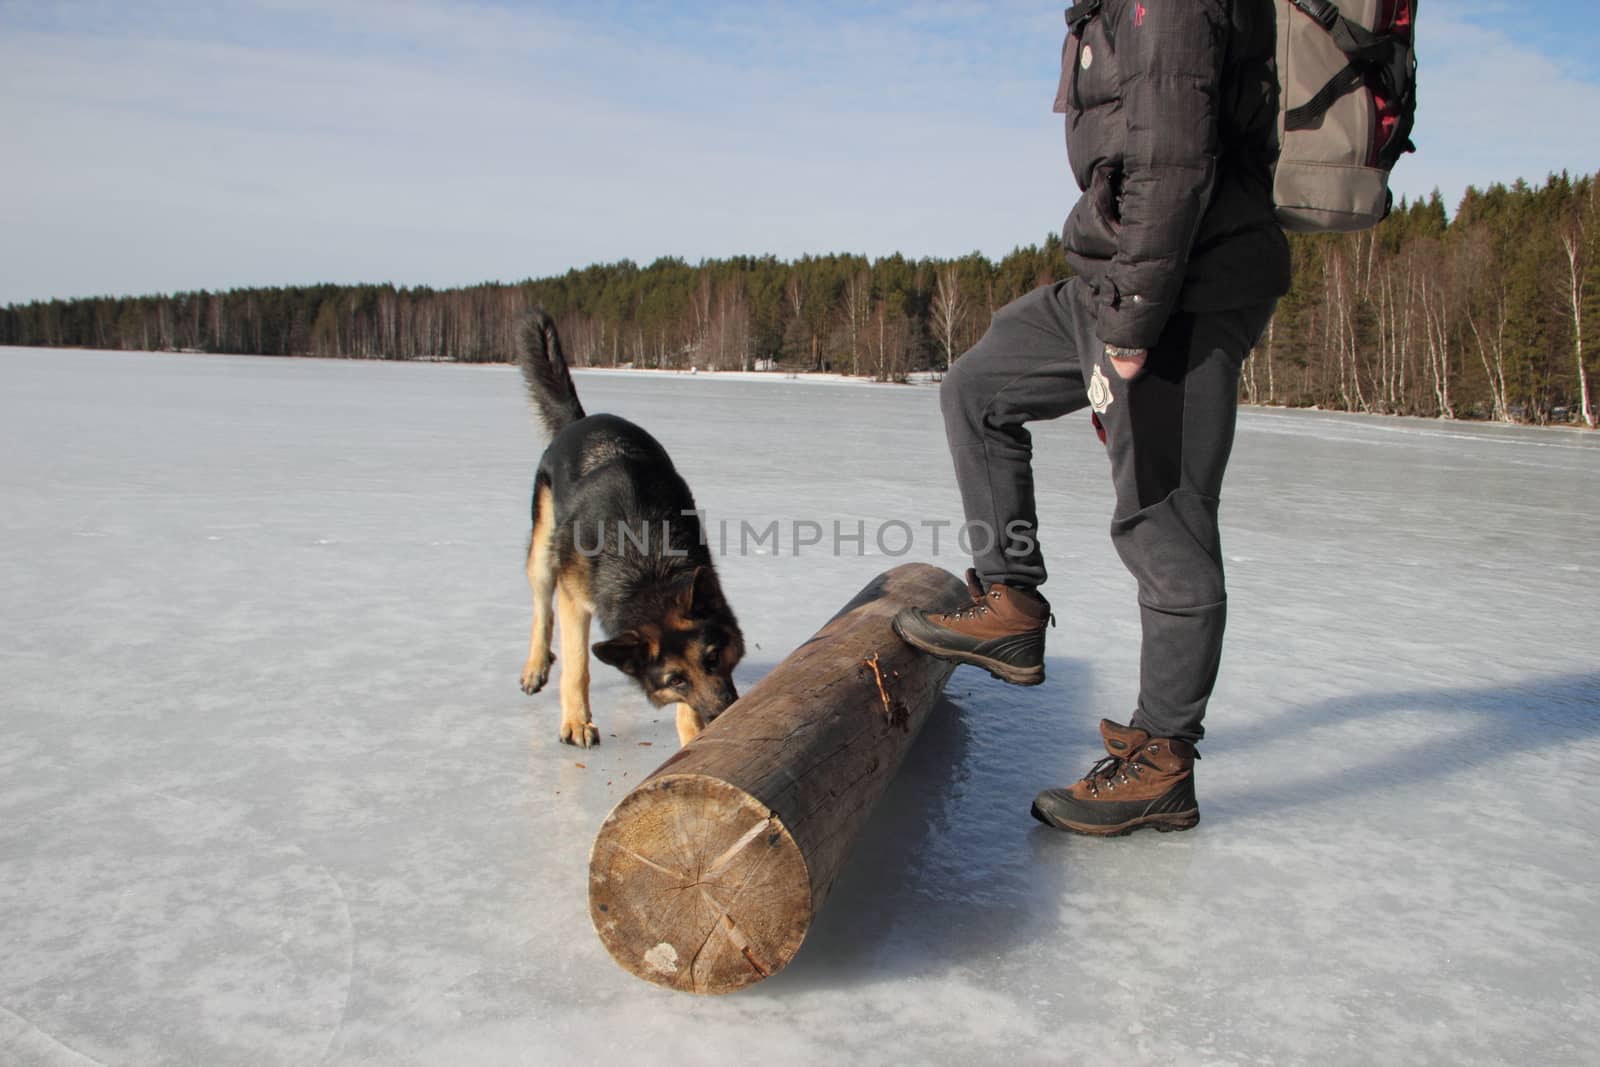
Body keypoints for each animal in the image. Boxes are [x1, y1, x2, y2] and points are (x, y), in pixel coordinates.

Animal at [515, 313, 745, 748]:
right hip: (543, 555)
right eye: (676, 680)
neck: (646, 568)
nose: (723, 716)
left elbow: (687, 712)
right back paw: (536, 665)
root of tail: (581, 420)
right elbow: (577, 665)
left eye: (712, 658)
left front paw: (693, 735)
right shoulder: (575, 599)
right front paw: (577, 721)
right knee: (541, 607)